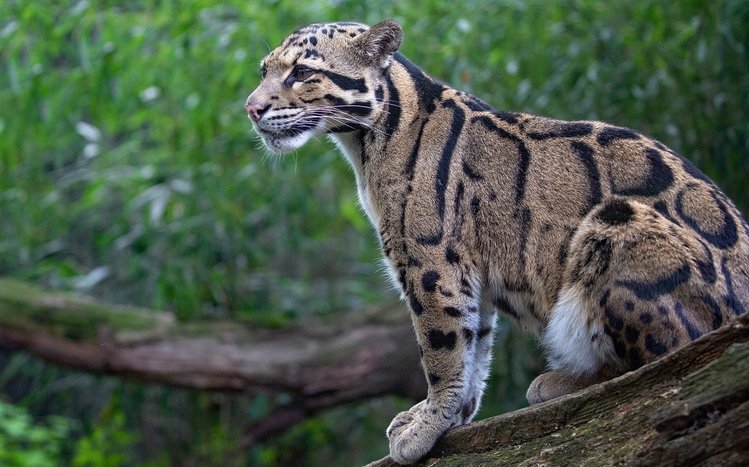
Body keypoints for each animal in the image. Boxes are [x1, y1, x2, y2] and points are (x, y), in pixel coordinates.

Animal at [244, 20, 749, 464]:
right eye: (264, 70)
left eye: (302, 72)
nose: (251, 108)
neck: (367, 144)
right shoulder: (466, 274)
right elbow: (474, 348)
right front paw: (451, 417)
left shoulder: (432, 265)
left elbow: (443, 350)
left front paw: (428, 423)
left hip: (618, 222)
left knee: (668, 359)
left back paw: (565, 381)